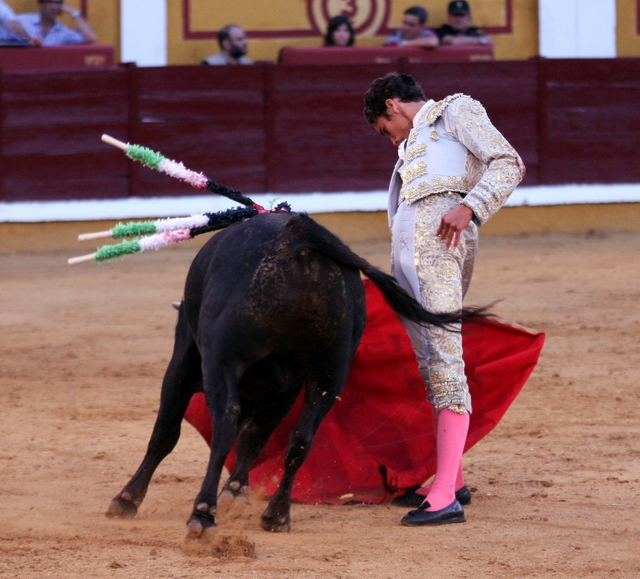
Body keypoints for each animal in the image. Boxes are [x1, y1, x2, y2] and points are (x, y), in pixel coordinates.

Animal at [105, 212, 484, 536]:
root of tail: (299, 235)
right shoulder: (285, 388)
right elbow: (256, 437)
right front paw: (236, 492)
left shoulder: (183, 363)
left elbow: (166, 433)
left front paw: (126, 499)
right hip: (330, 372)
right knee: (301, 439)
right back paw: (276, 514)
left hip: (221, 358)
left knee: (225, 419)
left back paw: (202, 514)